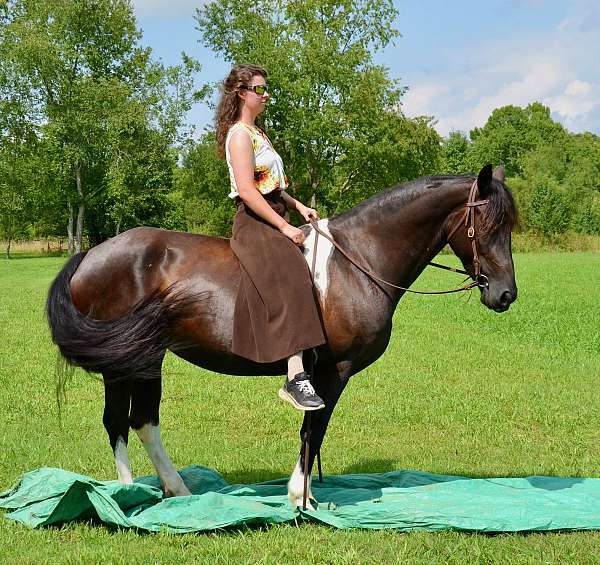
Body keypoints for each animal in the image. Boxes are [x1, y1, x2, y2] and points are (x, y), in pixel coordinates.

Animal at [47, 163, 516, 506]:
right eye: (488, 224)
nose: (505, 294)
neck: (357, 260)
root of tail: (92, 253)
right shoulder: (334, 370)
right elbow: (314, 428)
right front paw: (301, 498)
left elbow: (312, 431)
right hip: (126, 363)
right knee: (121, 421)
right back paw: (129, 496)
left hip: (145, 359)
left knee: (140, 420)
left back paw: (173, 489)